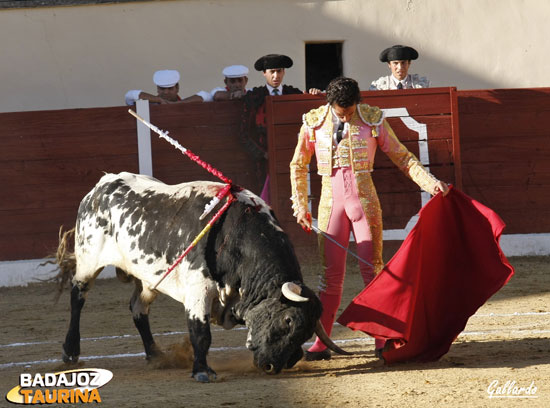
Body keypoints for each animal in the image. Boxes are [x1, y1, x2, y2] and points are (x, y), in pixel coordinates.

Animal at [57, 172, 350, 382]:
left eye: (306, 333)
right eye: (288, 320)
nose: (271, 365)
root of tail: (100, 186)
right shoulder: (199, 290)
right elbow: (201, 332)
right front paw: (202, 371)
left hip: (150, 279)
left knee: (137, 307)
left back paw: (155, 355)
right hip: (88, 259)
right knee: (77, 296)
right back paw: (71, 351)